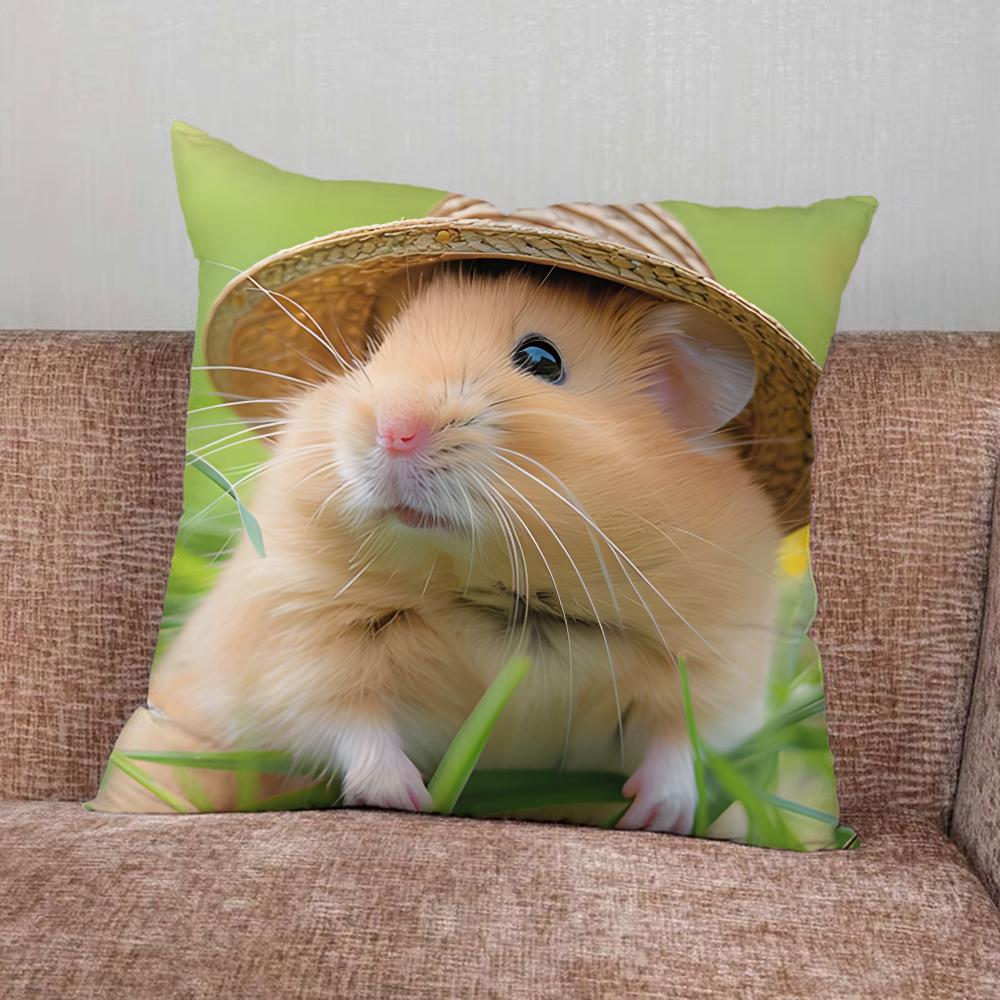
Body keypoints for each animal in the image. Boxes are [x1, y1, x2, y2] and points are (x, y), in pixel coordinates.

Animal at [153, 264, 782, 833]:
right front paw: (410, 798)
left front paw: (659, 815)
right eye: (372, 350)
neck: (498, 588)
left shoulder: (715, 664)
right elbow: (346, 721)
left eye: (542, 360)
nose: (394, 430)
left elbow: (680, 738)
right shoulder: (295, 644)